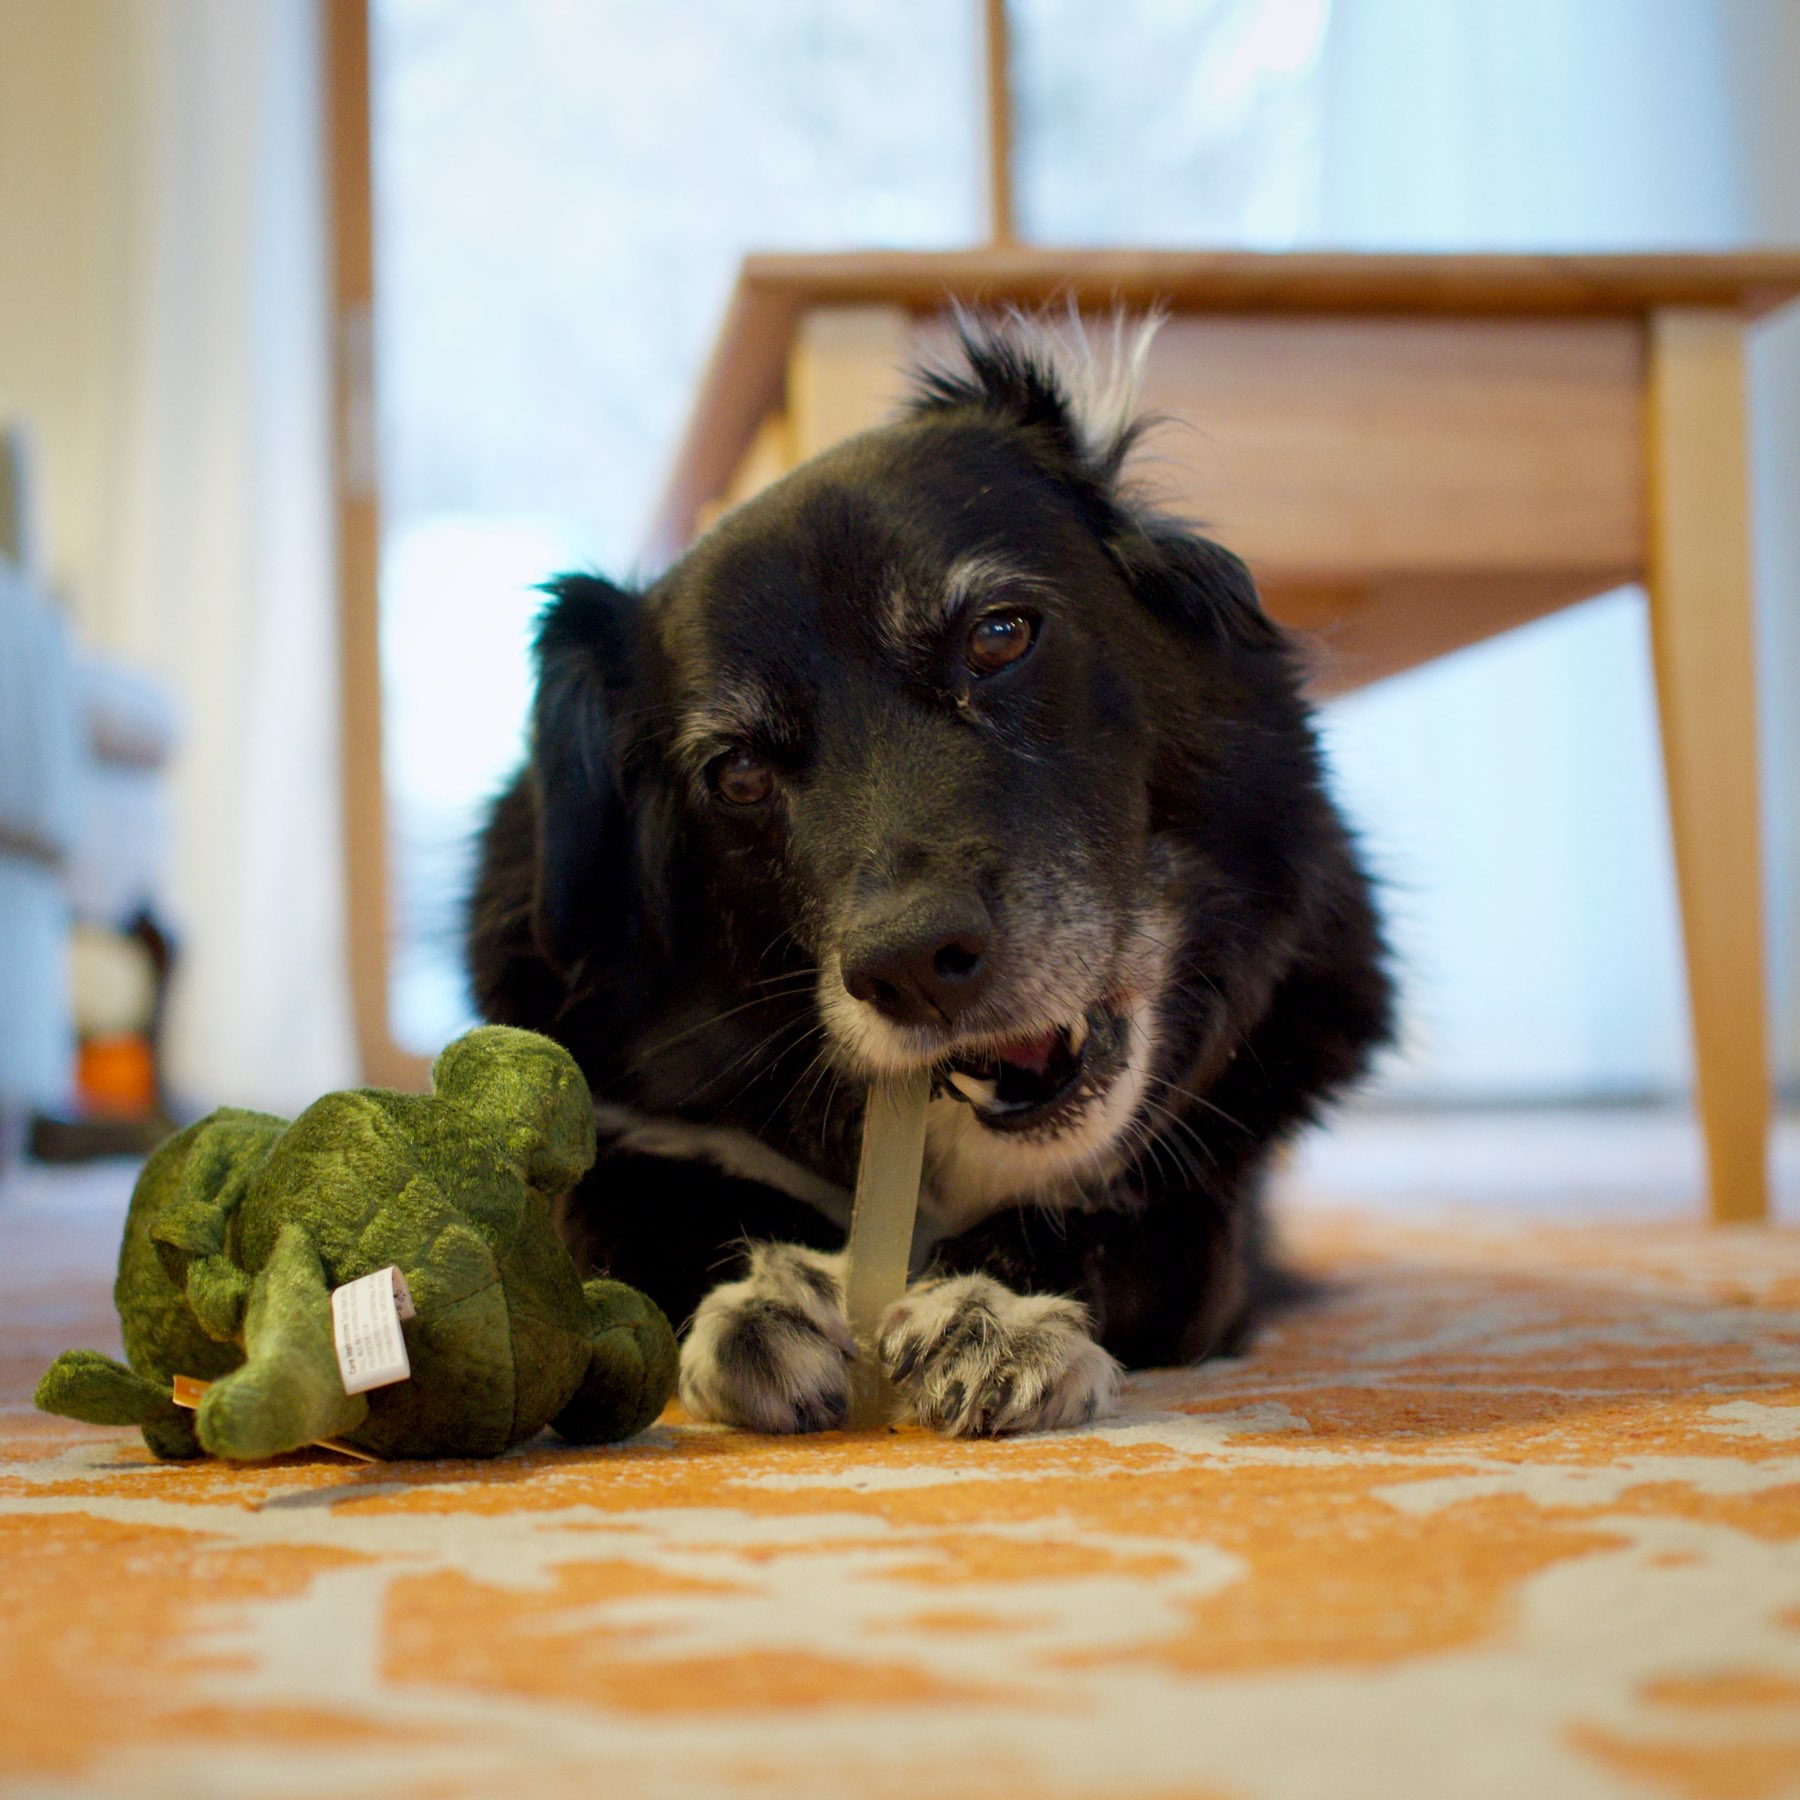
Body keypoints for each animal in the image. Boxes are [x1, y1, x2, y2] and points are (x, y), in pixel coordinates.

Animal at [464, 313, 1389, 1432]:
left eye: (998, 635)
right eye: (736, 774)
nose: (909, 965)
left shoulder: (1207, 1213)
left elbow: (1101, 1227)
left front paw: (992, 1309)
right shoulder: (610, 1148)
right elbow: (648, 1218)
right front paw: (769, 1296)